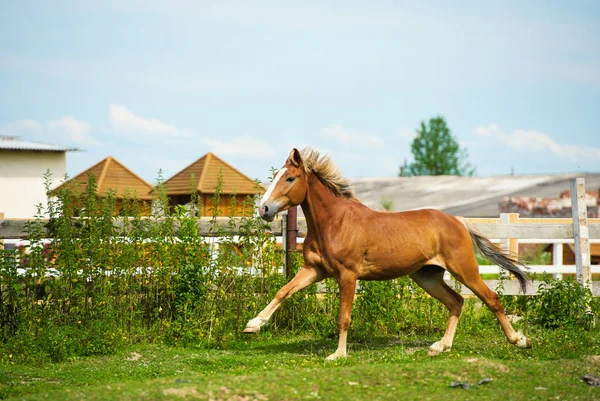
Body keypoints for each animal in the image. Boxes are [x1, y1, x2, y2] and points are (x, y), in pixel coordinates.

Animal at [244, 148, 528, 360]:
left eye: (290, 179)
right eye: (276, 176)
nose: (264, 209)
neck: (334, 223)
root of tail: (458, 221)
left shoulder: (347, 276)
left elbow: (343, 317)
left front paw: (338, 354)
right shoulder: (314, 270)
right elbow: (283, 291)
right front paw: (253, 325)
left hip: (464, 269)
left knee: (491, 299)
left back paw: (520, 340)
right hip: (427, 276)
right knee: (456, 301)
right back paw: (440, 346)